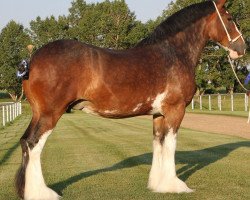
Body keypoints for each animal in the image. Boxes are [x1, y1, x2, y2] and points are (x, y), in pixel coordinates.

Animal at [16, 0, 246, 199]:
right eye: (230, 18)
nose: (242, 48)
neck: (172, 54)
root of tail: (32, 60)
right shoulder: (176, 110)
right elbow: (170, 145)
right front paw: (175, 185)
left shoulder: (158, 114)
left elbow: (158, 144)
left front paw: (157, 185)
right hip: (50, 114)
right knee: (34, 144)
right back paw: (42, 193)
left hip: (38, 113)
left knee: (25, 142)